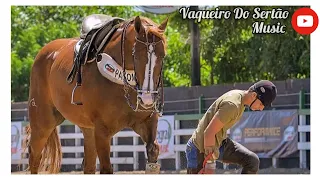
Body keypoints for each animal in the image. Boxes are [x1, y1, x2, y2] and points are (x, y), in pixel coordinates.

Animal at [25, 15, 168, 174]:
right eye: (136, 56)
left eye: (162, 56)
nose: (147, 98)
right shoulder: (102, 131)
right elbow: (106, 168)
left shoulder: (146, 122)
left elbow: (152, 150)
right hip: (43, 124)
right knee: (35, 155)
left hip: (87, 129)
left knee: (88, 165)